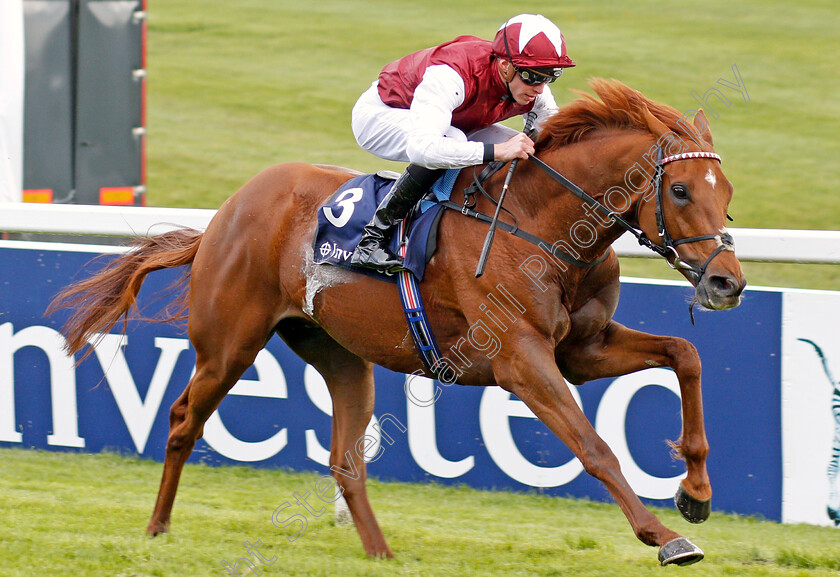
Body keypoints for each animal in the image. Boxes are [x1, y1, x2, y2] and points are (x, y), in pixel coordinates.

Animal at [50, 80, 748, 564]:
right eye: (680, 190)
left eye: (728, 191)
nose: (728, 283)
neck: (541, 222)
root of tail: (224, 214)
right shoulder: (521, 362)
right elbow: (596, 448)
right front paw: (664, 536)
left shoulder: (582, 349)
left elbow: (685, 354)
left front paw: (696, 493)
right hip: (228, 343)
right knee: (182, 420)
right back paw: (157, 526)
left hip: (340, 355)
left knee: (345, 460)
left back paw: (381, 554)